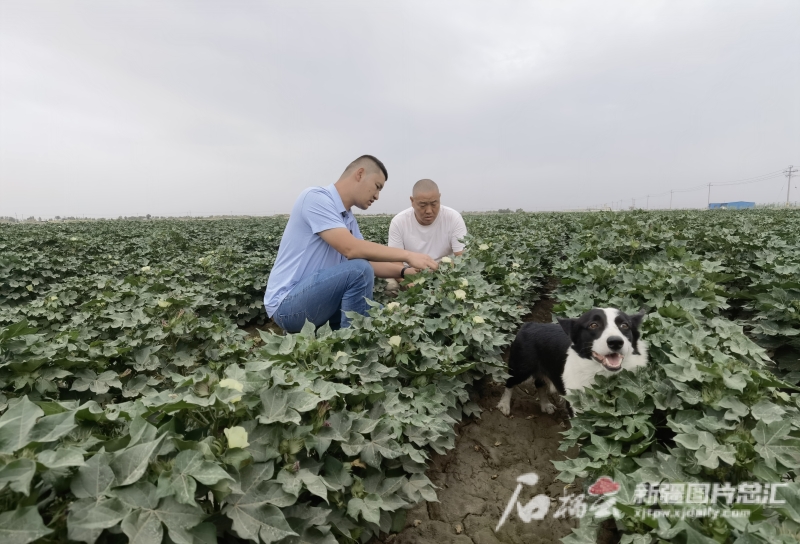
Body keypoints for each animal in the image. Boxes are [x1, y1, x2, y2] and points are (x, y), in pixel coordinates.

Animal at [496, 310, 648, 416]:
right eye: (593, 325)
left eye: (624, 325)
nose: (616, 342)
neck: (601, 374)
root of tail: (530, 324)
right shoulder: (576, 404)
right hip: (521, 368)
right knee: (510, 382)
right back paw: (504, 405)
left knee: (539, 383)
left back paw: (545, 405)